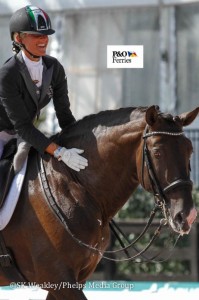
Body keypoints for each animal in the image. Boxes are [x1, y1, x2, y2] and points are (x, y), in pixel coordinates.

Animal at [0, 104, 199, 298]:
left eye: (189, 150)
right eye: (157, 152)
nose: (187, 215)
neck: (72, 186)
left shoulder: (75, 279)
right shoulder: (58, 278)